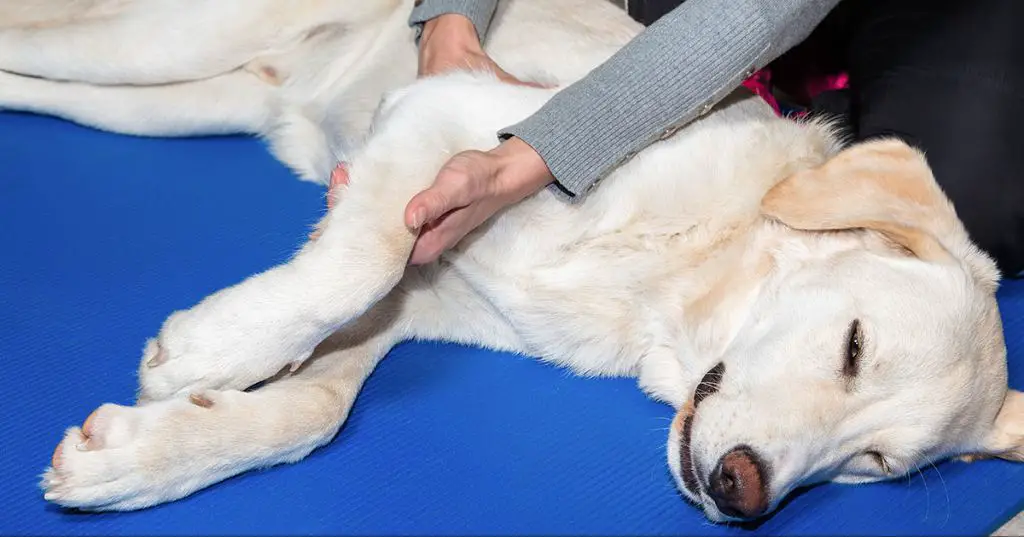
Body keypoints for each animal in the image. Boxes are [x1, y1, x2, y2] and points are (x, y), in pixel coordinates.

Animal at [4, 0, 1019, 522]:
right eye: (854, 346)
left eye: (875, 464)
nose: (745, 490)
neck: (664, 284)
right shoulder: (447, 123)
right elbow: (359, 261)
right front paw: (211, 352)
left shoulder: (416, 298)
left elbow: (316, 411)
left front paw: (144, 454)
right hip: (153, 45)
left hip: (166, 99)